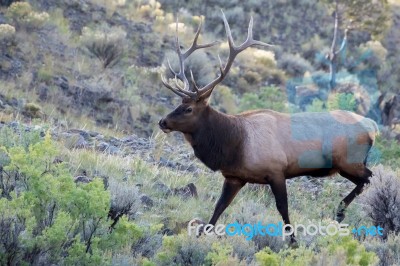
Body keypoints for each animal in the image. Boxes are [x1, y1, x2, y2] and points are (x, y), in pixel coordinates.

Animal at [158, 12, 376, 245]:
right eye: (178, 104)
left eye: (188, 109)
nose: (163, 122)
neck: (233, 146)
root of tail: (372, 126)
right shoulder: (234, 177)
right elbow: (219, 207)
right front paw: (200, 235)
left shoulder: (276, 171)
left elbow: (283, 208)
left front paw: (293, 241)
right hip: (346, 165)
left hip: (349, 161)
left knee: (369, 178)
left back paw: (339, 211)